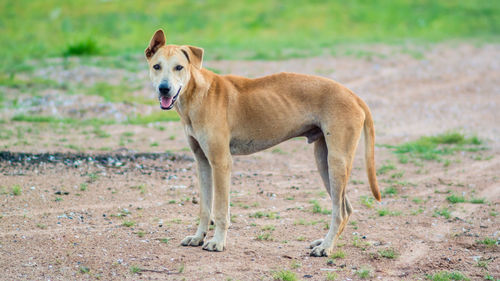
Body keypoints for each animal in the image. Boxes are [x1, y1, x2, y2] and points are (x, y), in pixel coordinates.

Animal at [146, 29, 380, 255]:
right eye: (157, 66)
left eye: (179, 67)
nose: (164, 88)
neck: (196, 95)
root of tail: (353, 95)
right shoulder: (203, 162)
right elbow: (205, 208)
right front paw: (198, 237)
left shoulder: (221, 163)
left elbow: (220, 210)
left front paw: (218, 242)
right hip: (324, 162)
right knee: (345, 208)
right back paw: (325, 242)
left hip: (337, 162)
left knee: (339, 212)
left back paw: (326, 247)